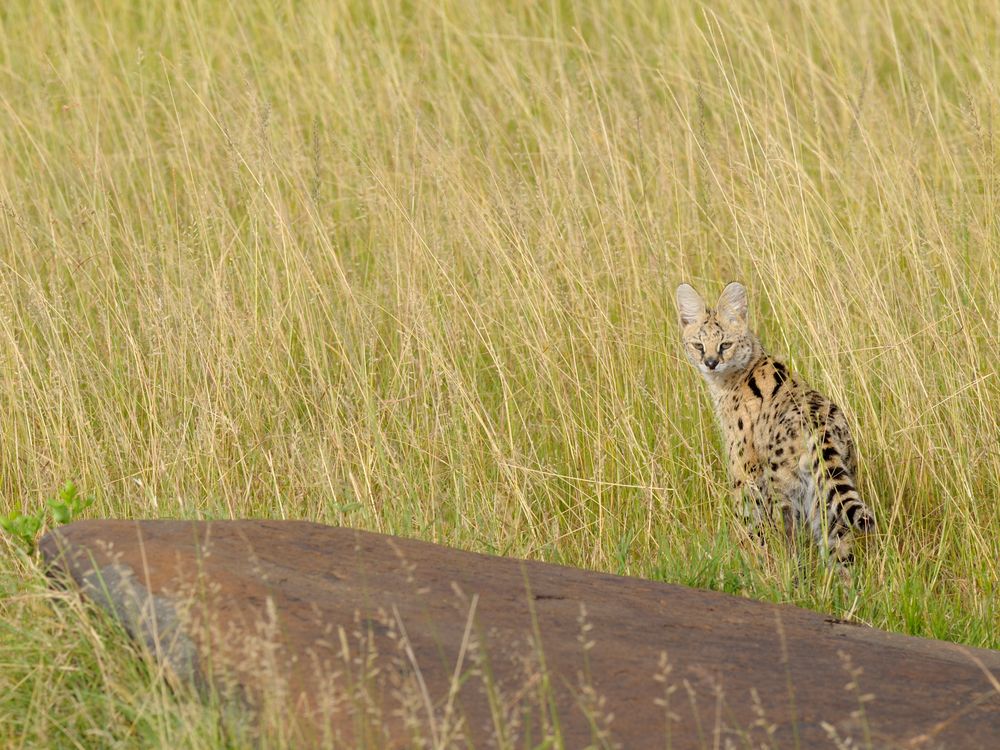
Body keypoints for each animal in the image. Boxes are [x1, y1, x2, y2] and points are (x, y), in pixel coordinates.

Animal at [672, 282, 876, 568]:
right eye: (698, 345)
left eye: (725, 344)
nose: (710, 363)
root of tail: (818, 423)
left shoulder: (744, 472)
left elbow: (749, 525)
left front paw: (750, 562)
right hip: (829, 494)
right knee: (840, 553)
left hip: (784, 494)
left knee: (790, 544)